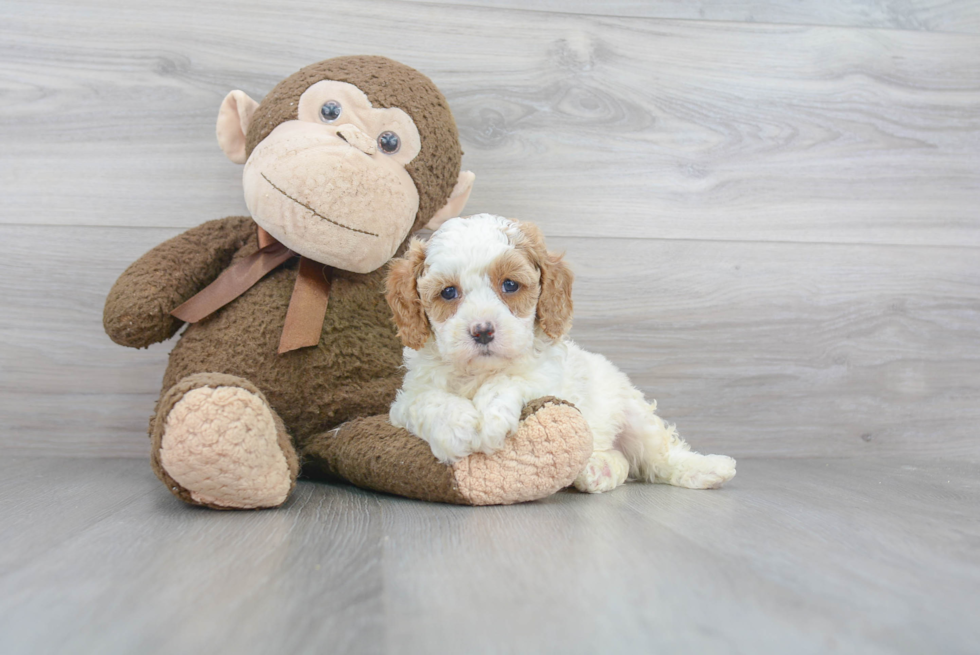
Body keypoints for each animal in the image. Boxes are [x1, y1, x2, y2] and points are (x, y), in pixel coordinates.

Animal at [382, 215, 736, 492]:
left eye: (510, 285)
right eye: (448, 293)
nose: (482, 331)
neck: (479, 371)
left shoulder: (548, 379)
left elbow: (509, 380)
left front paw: (492, 417)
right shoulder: (405, 400)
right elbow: (426, 400)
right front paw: (457, 427)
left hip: (635, 414)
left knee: (659, 457)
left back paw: (708, 469)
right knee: (622, 460)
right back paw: (598, 469)